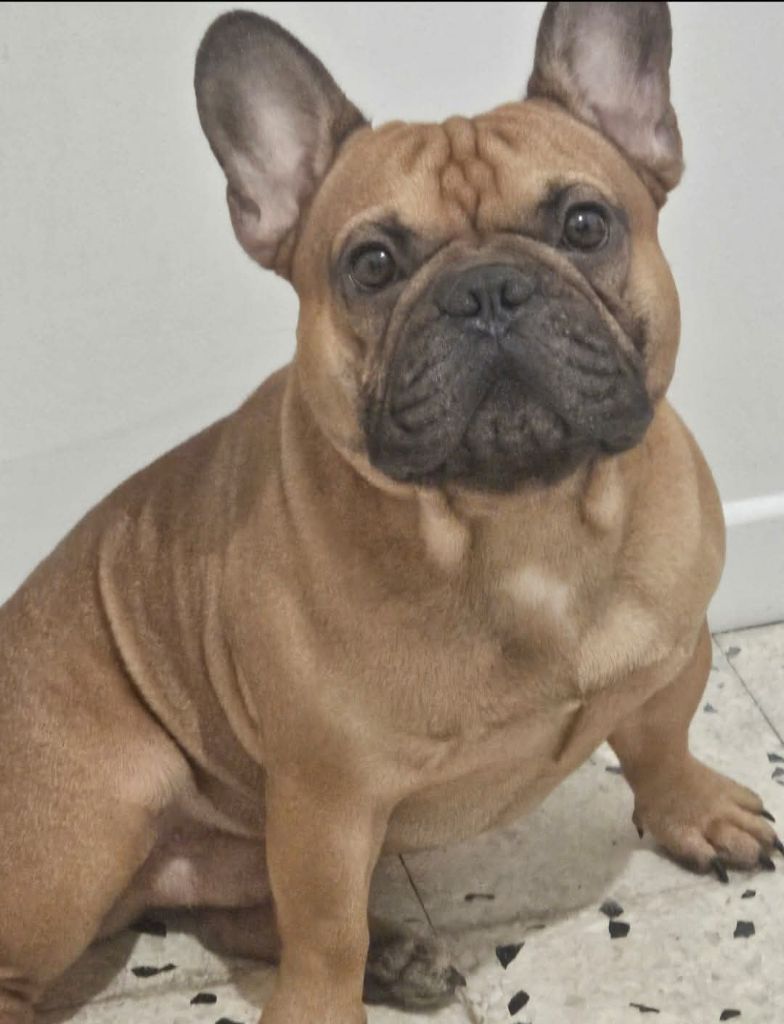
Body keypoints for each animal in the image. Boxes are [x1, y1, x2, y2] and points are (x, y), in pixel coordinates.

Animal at [1, 3, 779, 1022]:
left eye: (585, 222)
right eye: (372, 264)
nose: (487, 291)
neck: (521, 524)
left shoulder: (675, 651)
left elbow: (661, 740)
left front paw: (696, 811)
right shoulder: (325, 805)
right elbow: (325, 932)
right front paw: (323, 1006)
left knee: (230, 913)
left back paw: (398, 955)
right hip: (95, 825)